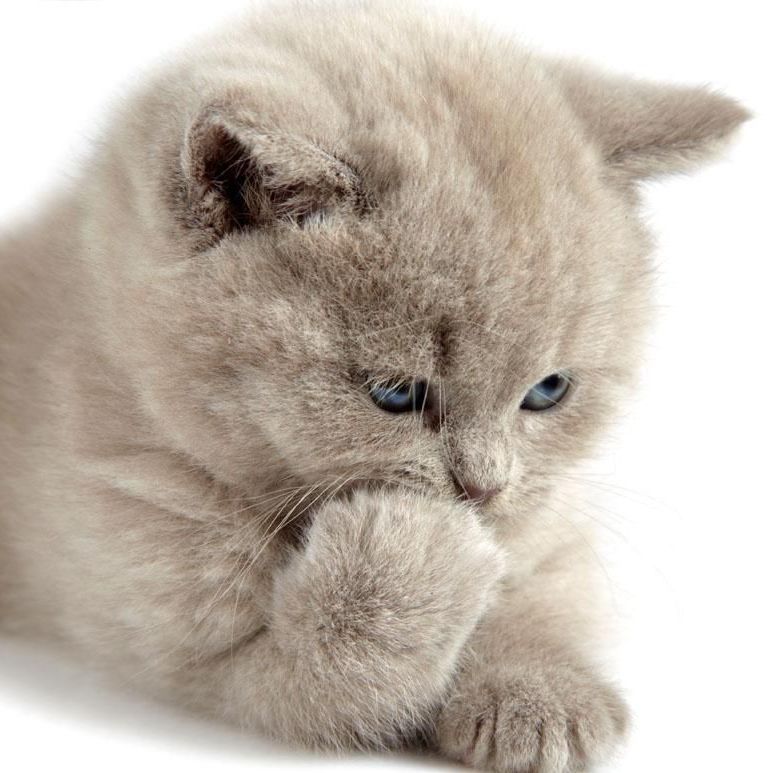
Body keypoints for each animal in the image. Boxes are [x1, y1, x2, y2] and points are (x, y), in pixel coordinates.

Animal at [0, 0, 748, 770]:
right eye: (395, 394)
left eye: (548, 391)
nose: (480, 488)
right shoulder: (196, 657)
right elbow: (333, 675)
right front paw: (420, 547)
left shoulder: (550, 519)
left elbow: (539, 597)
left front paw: (538, 694)